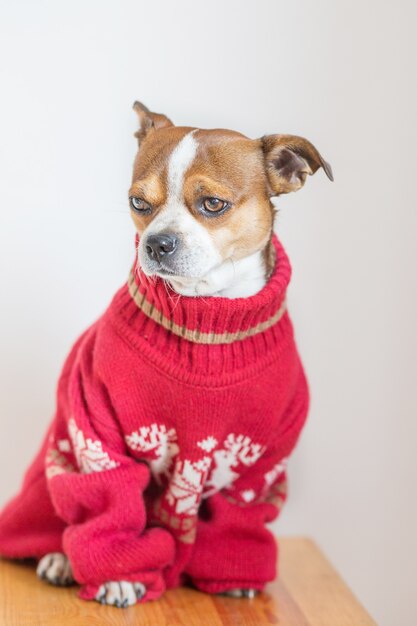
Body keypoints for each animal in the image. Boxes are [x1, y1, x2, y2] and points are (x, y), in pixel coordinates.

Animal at [0, 102, 332, 604]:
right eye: (139, 203)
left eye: (212, 204)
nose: (158, 242)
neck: (205, 318)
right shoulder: (99, 432)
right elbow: (112, 505)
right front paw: (119, 576)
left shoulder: (260, 463)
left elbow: (240, 516)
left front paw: (235, 574)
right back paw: (60, 559)